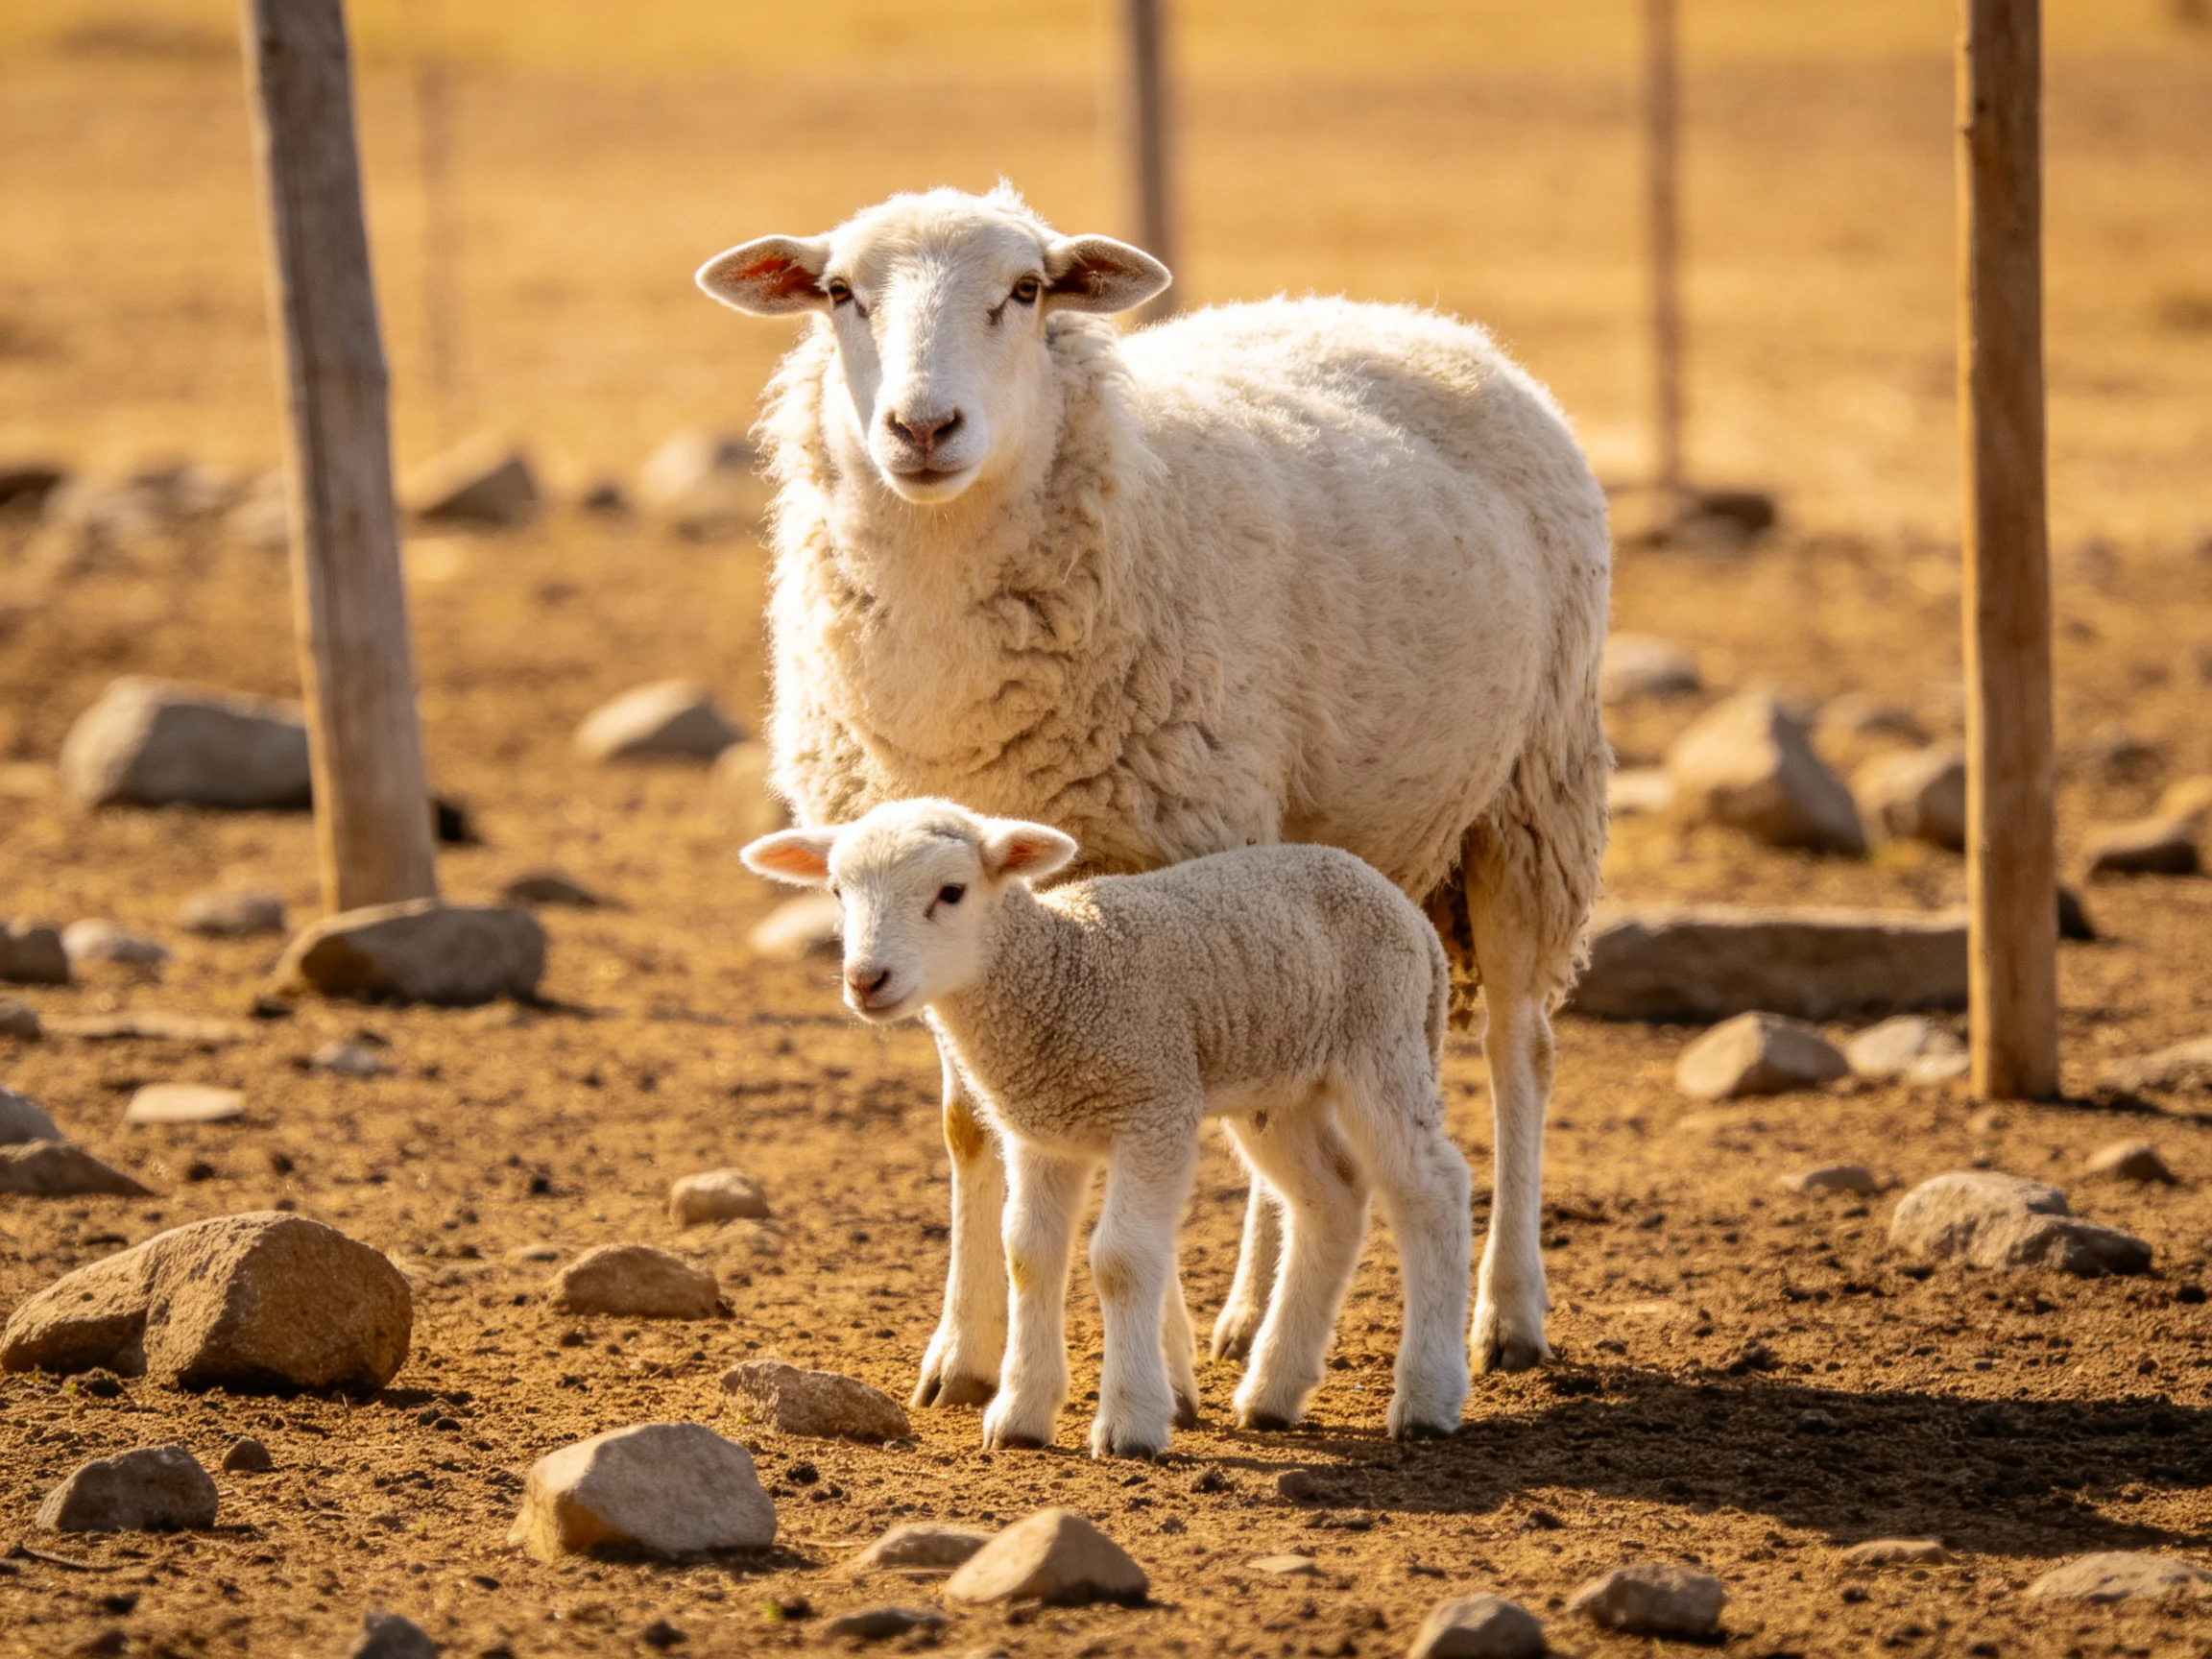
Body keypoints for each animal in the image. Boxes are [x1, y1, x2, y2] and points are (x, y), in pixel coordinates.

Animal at [743, 798, 1475, 1457]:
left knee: (1433, 1190)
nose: (866, 980)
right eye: (837, 892)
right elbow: (1029, 1254)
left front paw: (1130, 1422)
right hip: (1281, 1089)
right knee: (1332, 1201)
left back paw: (1426, 1397)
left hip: (1381, 1043)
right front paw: (1020, 1415)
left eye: (951, 892)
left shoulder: (1153, 1105)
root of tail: (1405, 910)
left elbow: (1120, 1260)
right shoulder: (1041, 1132)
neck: (1062, 970)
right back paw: (1272, 1392)